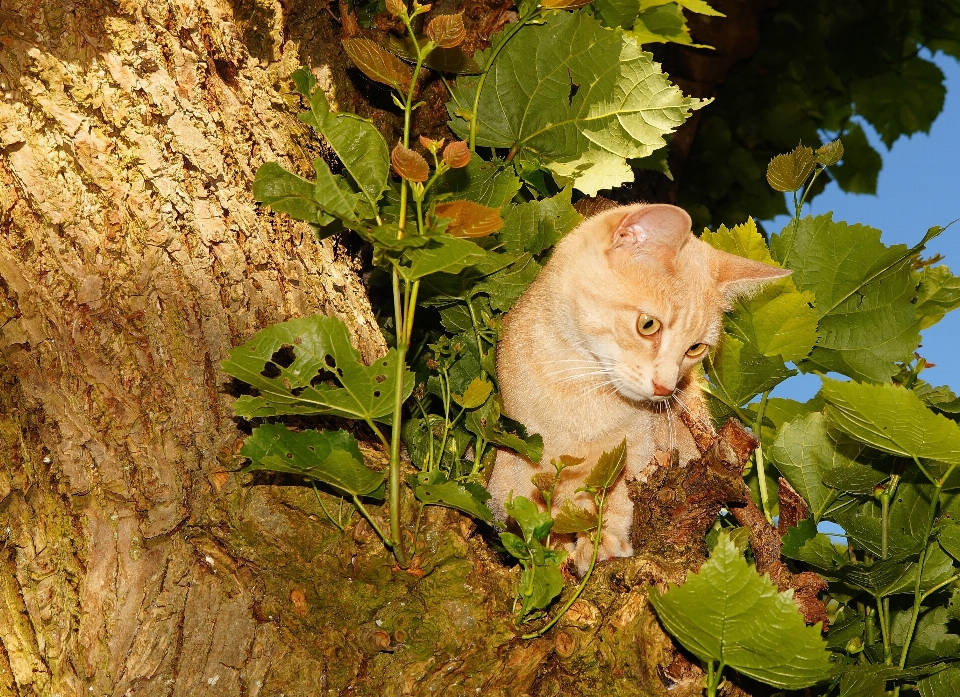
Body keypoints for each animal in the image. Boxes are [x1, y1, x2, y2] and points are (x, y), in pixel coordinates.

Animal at [488, 201, 788, 572]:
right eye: (648, 325)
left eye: (695, 348)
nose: (665, 388)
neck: (584, 388)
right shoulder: (522, 453)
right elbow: (538, 508)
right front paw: (552, 549)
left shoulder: (633, 452)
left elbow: (612, 499)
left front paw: (602, 541)